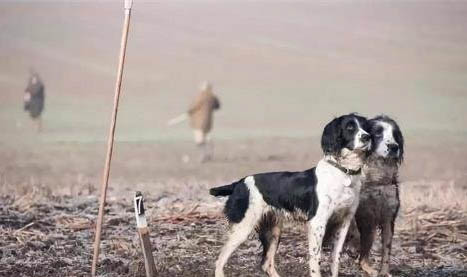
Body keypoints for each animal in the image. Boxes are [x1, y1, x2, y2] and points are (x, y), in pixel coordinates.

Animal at [210, 113, 372, 274]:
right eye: (350, 127)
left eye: (365, 126)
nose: (367, 137)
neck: (344, 172)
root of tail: (238, 183)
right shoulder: (317, 223)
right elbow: (315, 260)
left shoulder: (344, 222)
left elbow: (335, 259)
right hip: (243, 227)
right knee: (220, 260)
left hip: (273, 231)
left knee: (266, 264)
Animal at [356, 114, 404, 276]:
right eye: (377, 133)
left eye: (396, 134)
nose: (394, 147)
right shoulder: (363, 217)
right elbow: (363, 253)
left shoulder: (388, 217)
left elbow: (386, 250)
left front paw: (383, 272)